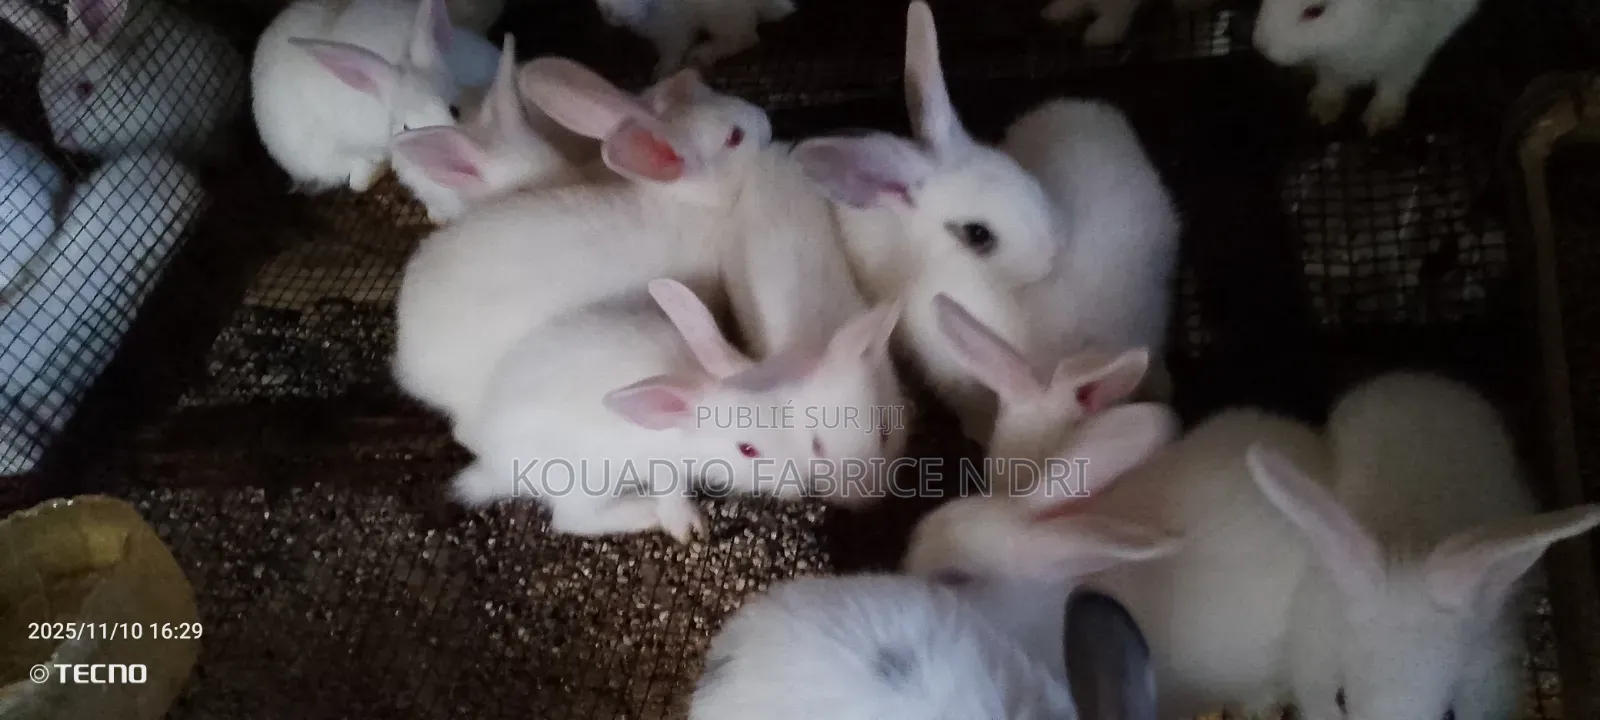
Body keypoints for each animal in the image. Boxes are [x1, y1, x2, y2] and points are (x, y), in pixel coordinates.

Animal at [449, 278, 902, 540]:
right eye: (747, 450)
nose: (797, 489)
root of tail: (492, 465)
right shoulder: (663, 467)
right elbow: (670, 495)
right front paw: (686, 526)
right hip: (583, 481)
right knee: (570, 520)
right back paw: (641, 514)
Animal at [594, 0, 795, 80]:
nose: (608, 13)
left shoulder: (674, 29)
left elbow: (673, 51)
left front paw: (661, 74)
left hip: (720, 17)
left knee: (746, 38)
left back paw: (702, 53)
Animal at [1251, 0, 1482, 135]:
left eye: (1315, 11)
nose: (1261, 45)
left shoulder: (1410, 52)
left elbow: (1393, 84)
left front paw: (1380, 120)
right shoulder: (1330, 66)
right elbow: (1330, 81)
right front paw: (1323, 109)